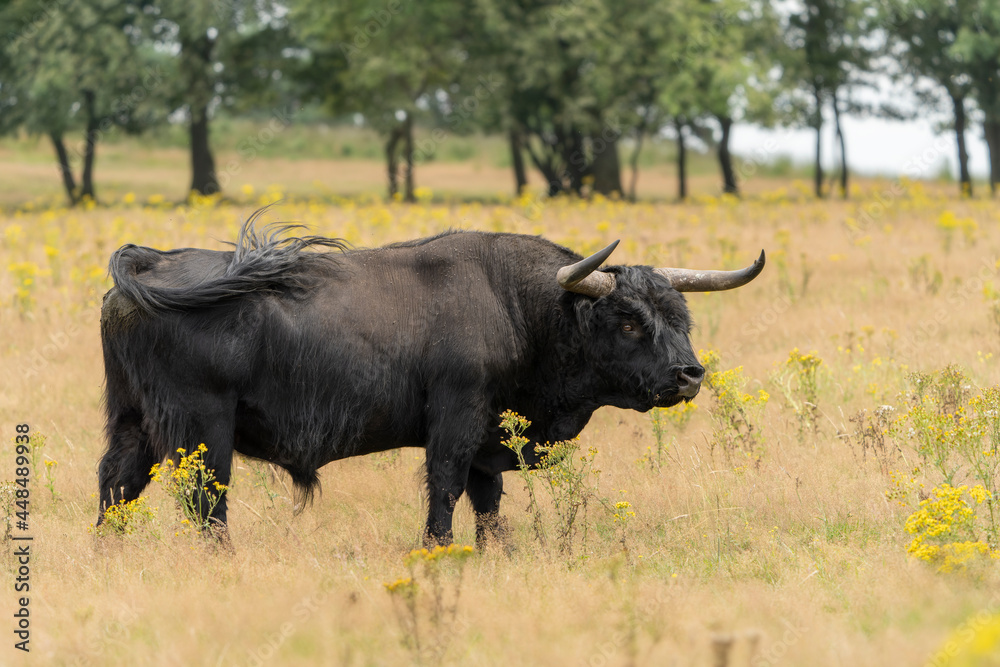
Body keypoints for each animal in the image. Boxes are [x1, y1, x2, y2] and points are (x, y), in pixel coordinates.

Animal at [95, 220, 764, 548]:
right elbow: (444, 491)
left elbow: (488, 503)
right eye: (627, 319)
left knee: (116, 487)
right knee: (205, 500)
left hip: (133, 424)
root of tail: (151, 261)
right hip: (201, 430)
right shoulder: (455, 421)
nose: (689, 374)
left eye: (680, 315)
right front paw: (439, 551)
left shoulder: (490, 441)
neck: (516, 305)